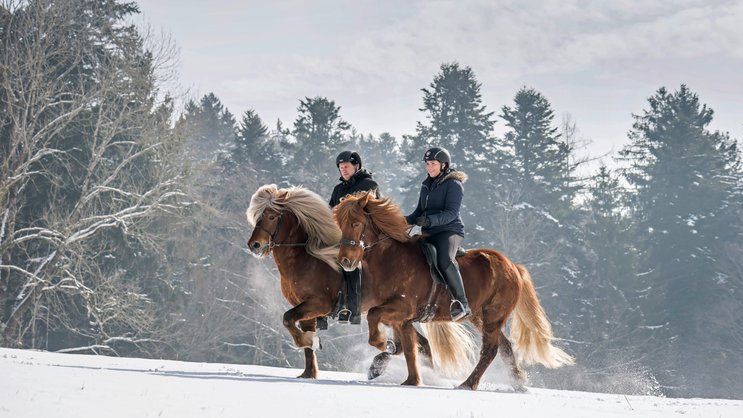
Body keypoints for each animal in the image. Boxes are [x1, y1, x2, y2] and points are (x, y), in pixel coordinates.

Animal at [245, 184, 472, 380]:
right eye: (258, 216)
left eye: (272, 216)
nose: (254, 245)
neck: (307, 258)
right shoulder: (305, 309)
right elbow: (299, 334)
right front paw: (309, 371)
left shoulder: (319, 304)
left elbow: (288, 319)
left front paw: (309, 341)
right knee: (421, 344)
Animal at [333, 191, 574, 390]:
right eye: (339, 224)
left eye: (356, 223)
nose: (345, 260)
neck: (391, 258)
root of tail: (513, 266)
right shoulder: (400, 316)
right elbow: (409, 346)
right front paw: (401, 373)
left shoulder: (402, 308)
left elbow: (386, 328)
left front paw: (384, 346)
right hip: (479, 317)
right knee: (505, 348)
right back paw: (518, 383)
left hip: (493, 316)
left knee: (490, 350)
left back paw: (468, 384)